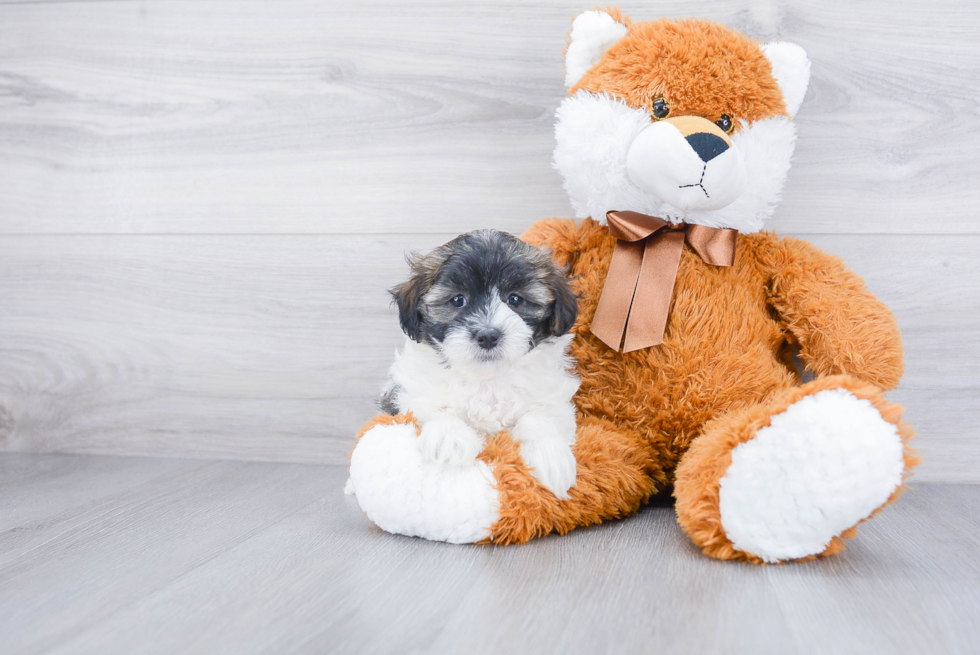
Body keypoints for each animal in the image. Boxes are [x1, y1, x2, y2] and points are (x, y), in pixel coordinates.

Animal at [380, 229, 580, 498]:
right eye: (457, 301)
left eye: (515, 299)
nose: (488, 335)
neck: (487, 378)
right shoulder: (406, 394)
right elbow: (430, 406)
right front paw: (449, 437)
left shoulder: (553, 399)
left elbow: (540, 418)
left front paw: (550, 456)